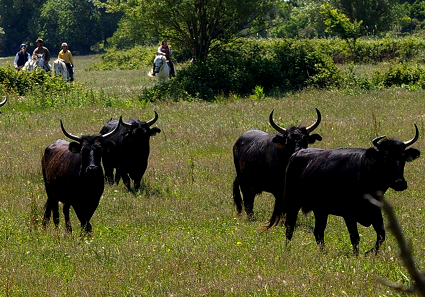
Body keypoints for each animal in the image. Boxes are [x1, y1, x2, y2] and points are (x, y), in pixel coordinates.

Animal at [264, 123, 420, 253]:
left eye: (403, 159)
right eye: (385, 159)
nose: (400, 183)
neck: (365, 173)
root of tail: (296, 154)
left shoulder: (375, 212)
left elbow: (381, 236)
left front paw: (370, 253)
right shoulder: (349, 214)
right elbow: (355, 238)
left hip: (321, 210)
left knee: (318, 232)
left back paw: (323, 253)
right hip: (292, 203)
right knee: (289, 228)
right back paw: (287, 249)